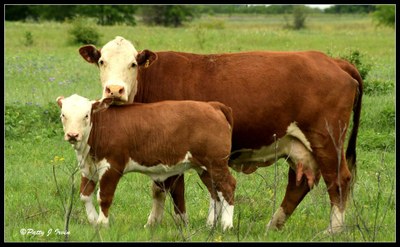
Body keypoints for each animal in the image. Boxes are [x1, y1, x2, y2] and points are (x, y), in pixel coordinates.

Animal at [57, 93, 238, 231]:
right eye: (63, 115)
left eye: (86, 115)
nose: (72, 135)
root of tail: (213, 105)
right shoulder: (88, 169)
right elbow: (85, 195)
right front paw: (94, 220)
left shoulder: (112, 167)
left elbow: (104, 197)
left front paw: (102, 224)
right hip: (204, 168)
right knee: (214, 193)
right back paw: (210, 225)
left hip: (216, 163)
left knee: (228, 187)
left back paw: (226, 225)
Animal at [79, 36, 364, 233]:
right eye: (102, 61)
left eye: (133, 64)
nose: (114, 90)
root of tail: (332, 60)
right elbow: (159, 188)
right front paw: (154, 224)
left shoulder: (172, 149)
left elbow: (173, 188)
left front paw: (179, 224)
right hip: (297, 145)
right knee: (299, 184)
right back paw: (273, 225)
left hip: (327, 140)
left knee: (338, 180)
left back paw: (333, 229)